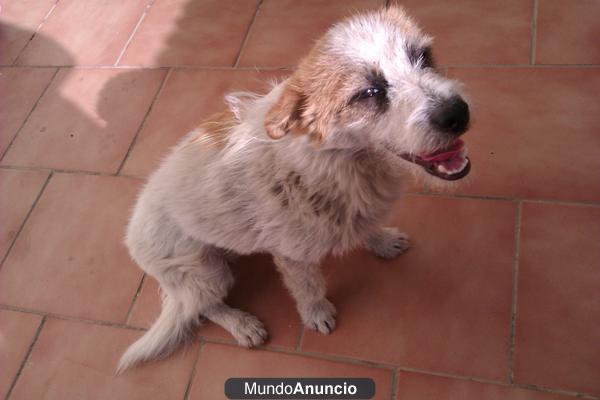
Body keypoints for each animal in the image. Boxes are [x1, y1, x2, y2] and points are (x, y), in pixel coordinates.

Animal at [116, 5, 468, 372]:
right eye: (369, 93)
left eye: (423, 56)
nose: (458, 114)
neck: (336, 163)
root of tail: (131, 234)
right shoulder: (294, 256)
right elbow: (307, 288)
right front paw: (316, 313)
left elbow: (365, 227)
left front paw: (382, 241)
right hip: (205, 274)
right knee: (202, 308)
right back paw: (241, 324)